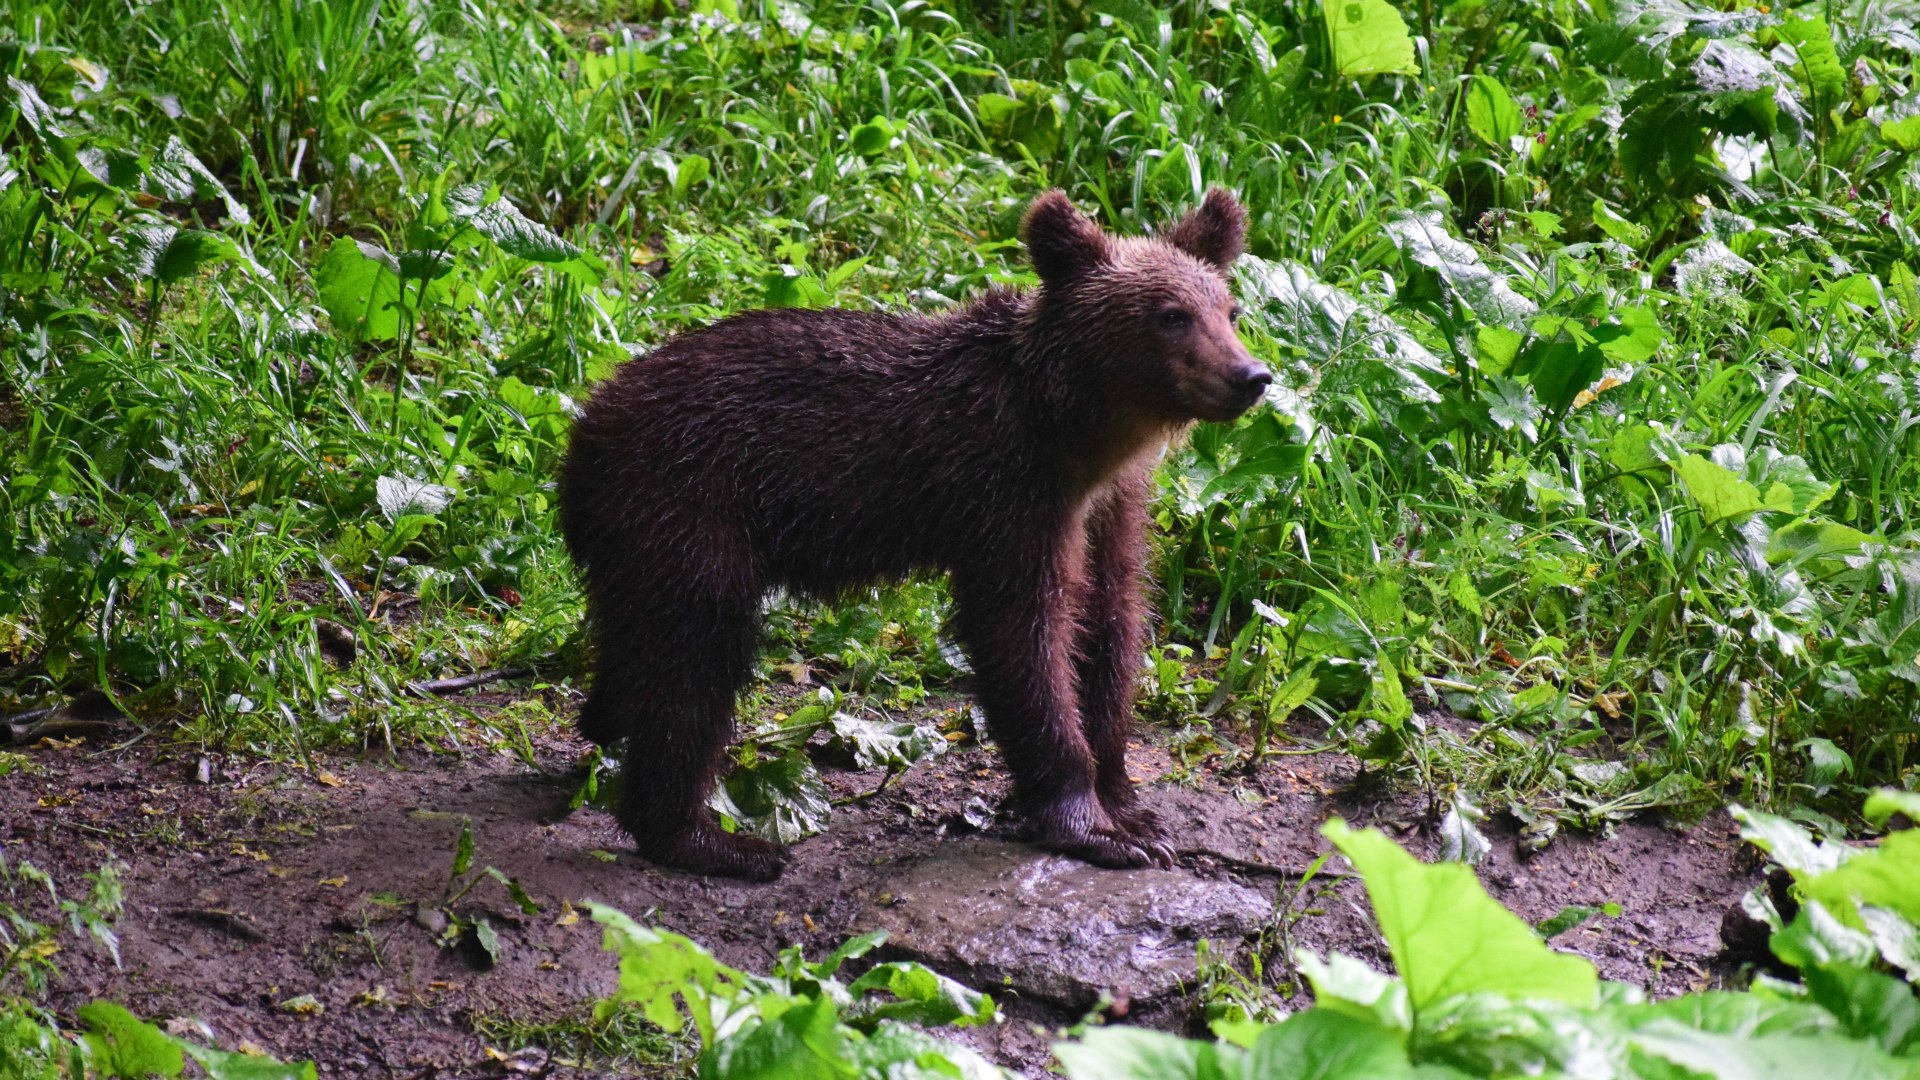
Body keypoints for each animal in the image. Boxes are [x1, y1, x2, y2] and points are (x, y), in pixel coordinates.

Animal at [558, 189, 1269, 881]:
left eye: (1230, 310)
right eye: (1171, 315)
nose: (1252, 376)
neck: (1077, 433)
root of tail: (587, 423)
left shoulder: (1112, 508)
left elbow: (1111, 623)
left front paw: (1130, 804)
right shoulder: (1008, 495)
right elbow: (1024, 636)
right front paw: (1095, 826)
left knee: (640, 644)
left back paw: (607, 721)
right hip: (691, 505)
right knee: (697, 658)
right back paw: (714, 839)